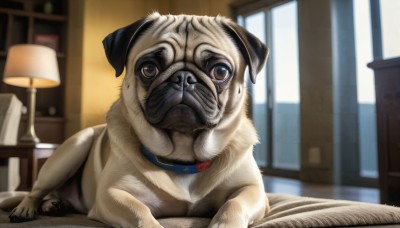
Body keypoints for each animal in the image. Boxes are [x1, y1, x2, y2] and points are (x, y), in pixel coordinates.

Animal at [2, 12, 268, 228]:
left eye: (220, 71)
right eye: (148, 69)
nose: (183, 78)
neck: (184, 159)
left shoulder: (254, 191)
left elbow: (233, 205)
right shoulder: (111, 194)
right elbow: (140, 212)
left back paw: (54, 204)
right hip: (71, 150)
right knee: (36, 191)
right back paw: (26, 209)